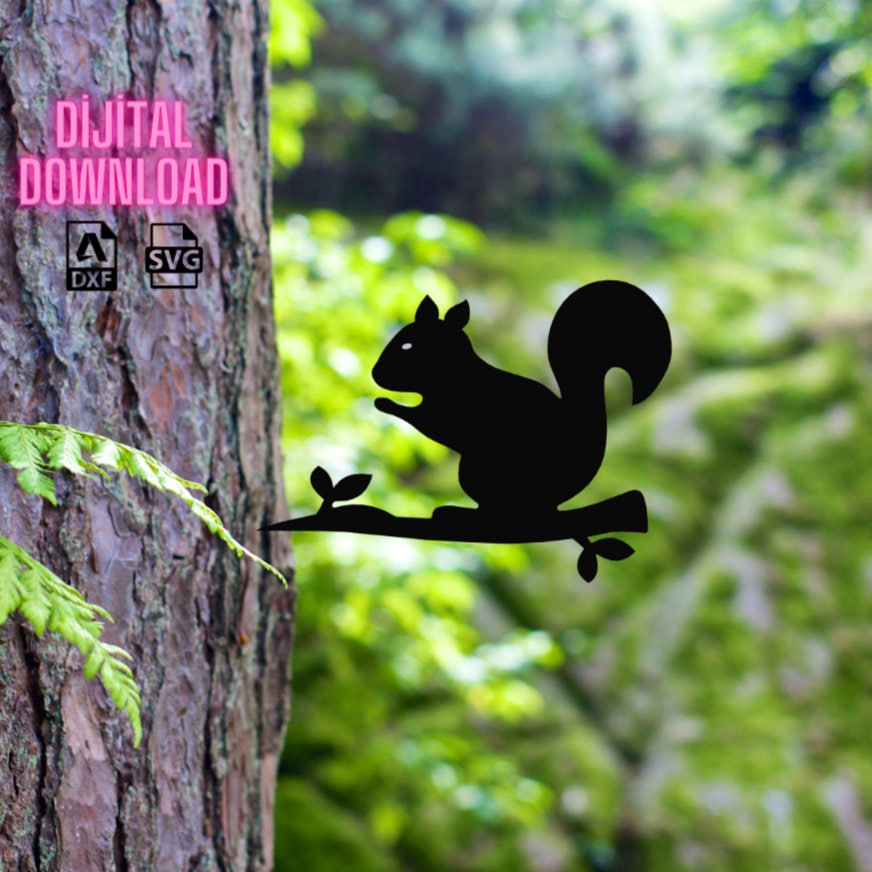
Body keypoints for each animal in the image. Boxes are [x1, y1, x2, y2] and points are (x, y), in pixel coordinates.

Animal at [372, 280, 671, 516]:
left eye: (407, 345)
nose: (375, 374)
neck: (453, 375)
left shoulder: (449, 412)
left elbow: (427, 422)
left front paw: (385, 403)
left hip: (476, 471)